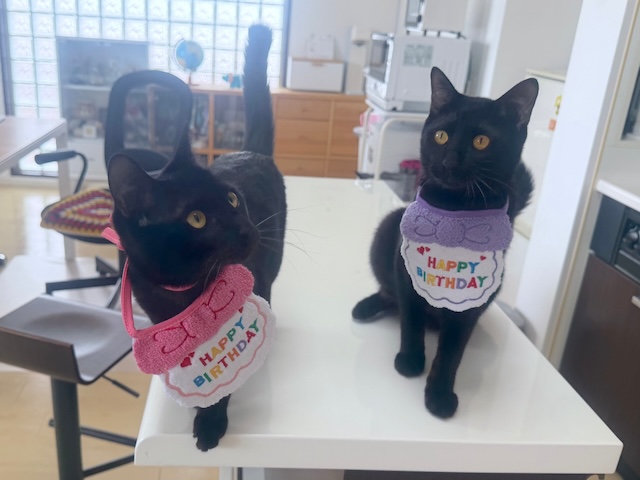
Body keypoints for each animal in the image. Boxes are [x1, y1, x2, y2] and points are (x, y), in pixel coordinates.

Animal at [107, 24, 286, 451]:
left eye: (233, 198)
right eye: (197, 219)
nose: (247, 228)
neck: (180, 289)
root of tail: (249, 150)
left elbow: (223, 382)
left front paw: (210, 422)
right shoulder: (159, 317)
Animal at [352, 67, 537, 418]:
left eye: (481, 141)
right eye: (441, 136)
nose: (449, 162)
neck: (455, 214)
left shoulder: (470, 301)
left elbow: (452, 352)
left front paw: (439, 394)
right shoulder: (406, 272)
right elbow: (411, 321)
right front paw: (411, 362)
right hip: (387, 229)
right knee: (391, 296)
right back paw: (366, 307)